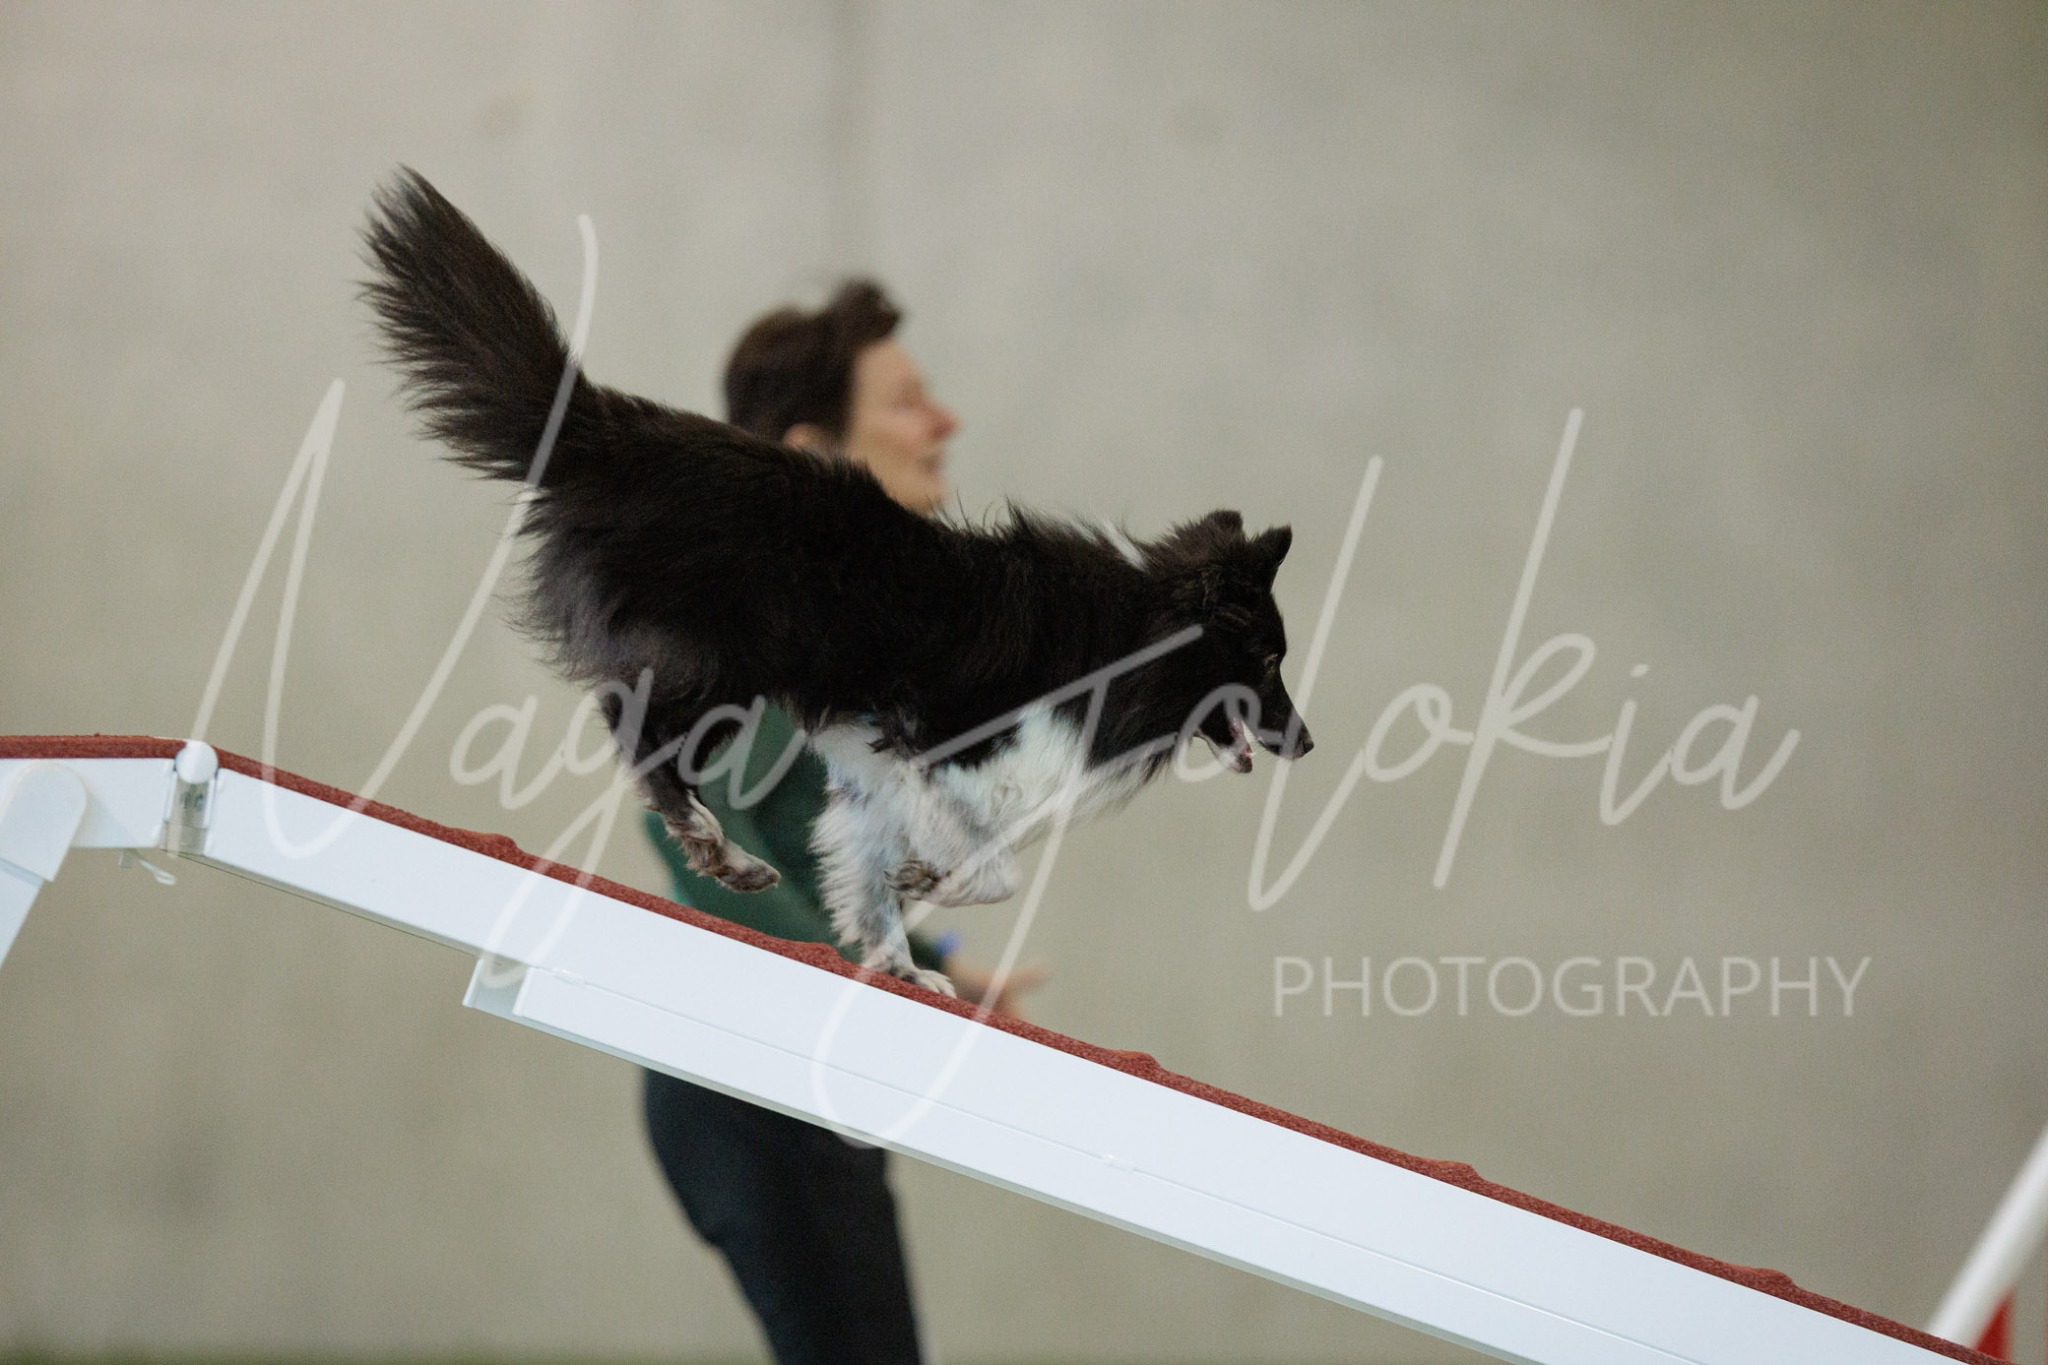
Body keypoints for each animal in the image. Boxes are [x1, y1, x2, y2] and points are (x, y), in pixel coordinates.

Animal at [362, 169, 1312, 994]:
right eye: (1268, 661)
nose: (1308, 743)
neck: (1130, 633)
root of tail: (617, 437)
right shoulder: (937, 748)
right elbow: (989, 870)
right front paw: (933, 880)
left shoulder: (873, 777)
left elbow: (871, 881)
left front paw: (900, 966)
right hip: (728, 669)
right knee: (636, 727)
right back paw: (720, 848)